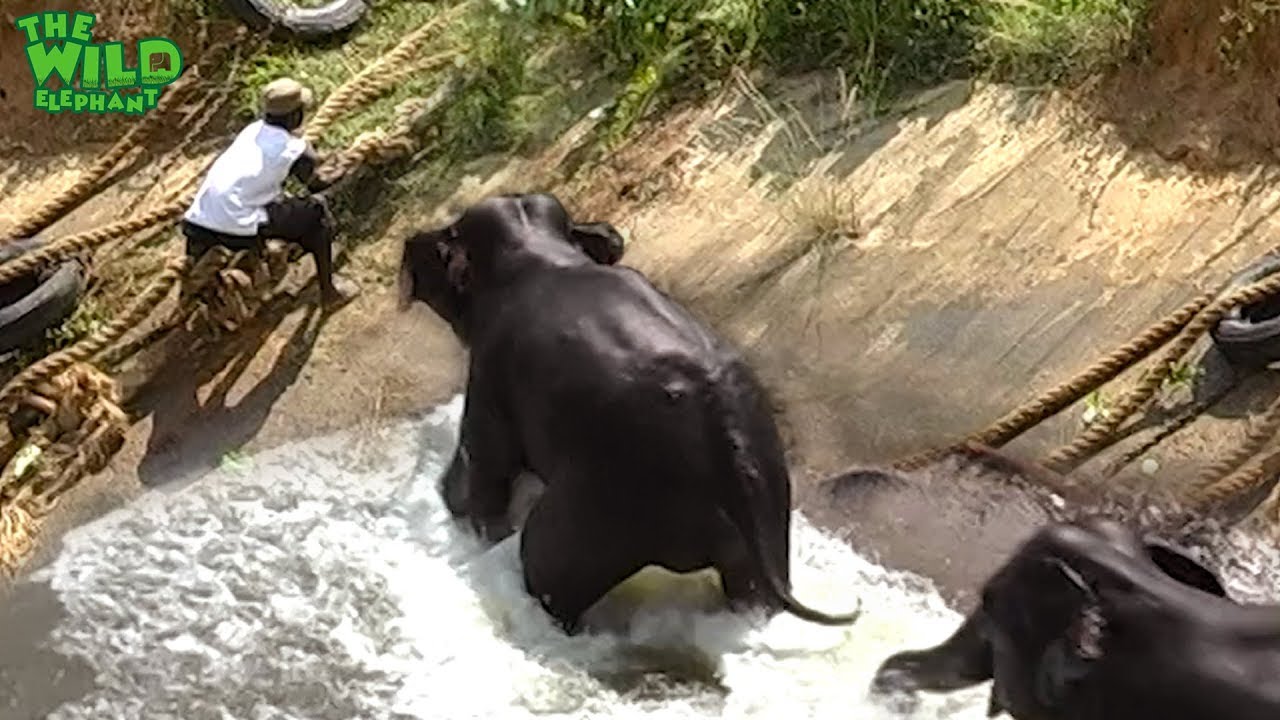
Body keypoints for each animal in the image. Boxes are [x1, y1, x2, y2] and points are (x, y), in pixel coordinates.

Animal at [397, 192, 861, 634]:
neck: (536, 248)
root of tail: (725, 437)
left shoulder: (490, 374)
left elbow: (482, 478)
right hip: (766, 495)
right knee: (751, 587)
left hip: (606, 503)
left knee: (545, 572)